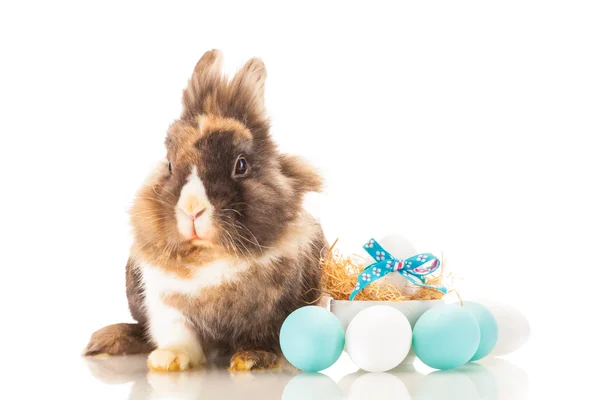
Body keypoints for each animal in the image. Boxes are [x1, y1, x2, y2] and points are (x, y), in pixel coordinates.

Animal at [83, 49, 328, 372]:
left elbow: (263, 336)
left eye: (241, 165)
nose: (192, 210)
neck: (210, 257)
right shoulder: (164, 303)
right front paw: (167, 360)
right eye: (170, 165)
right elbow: (180, 335)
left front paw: (250, 361)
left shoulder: (275, 309)